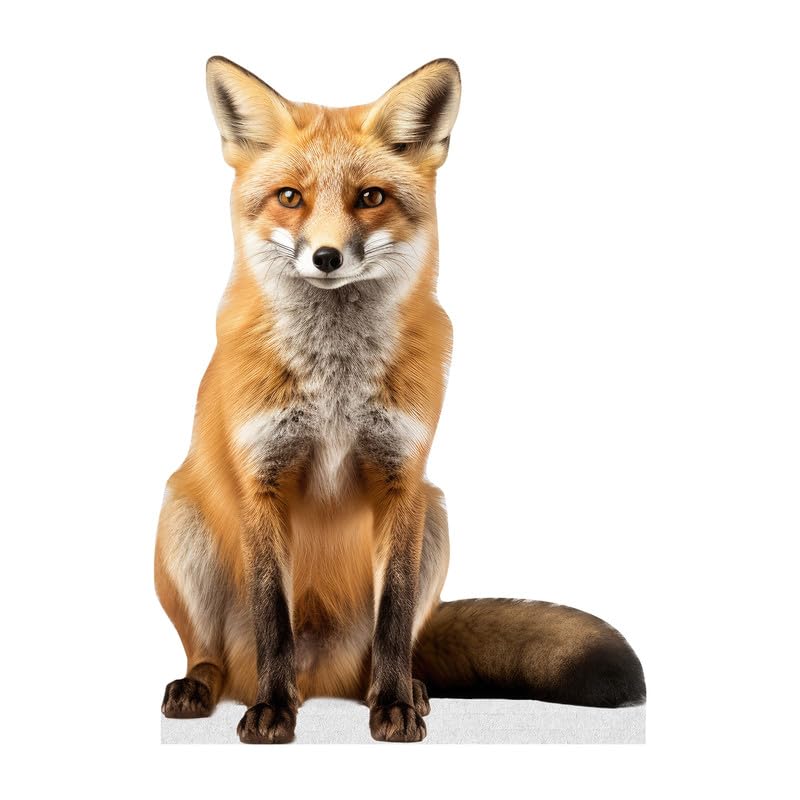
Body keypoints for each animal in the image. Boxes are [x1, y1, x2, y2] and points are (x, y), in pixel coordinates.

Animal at [155, 55, 646, 744]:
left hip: (436, 514)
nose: (326, 256)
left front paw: (393, 709)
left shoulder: (403, 477)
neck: (335, 383)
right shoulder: (264, 477)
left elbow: (394, 617)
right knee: (214, 654)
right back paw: (206, 686)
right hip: (181, 520)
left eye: (370, 197)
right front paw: (272, 712)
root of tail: (323, 675)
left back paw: (402, 689)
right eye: (290, 197)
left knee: (396, 648)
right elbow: (273, 620)